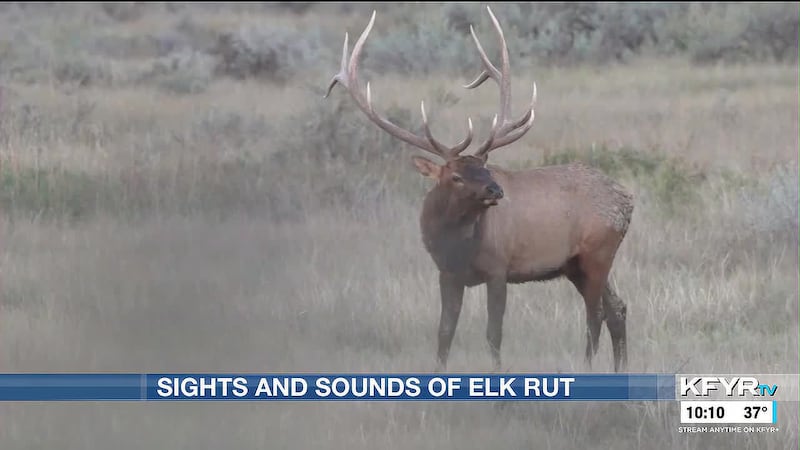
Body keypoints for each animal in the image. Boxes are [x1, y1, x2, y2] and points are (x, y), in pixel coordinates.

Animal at [324, 6, 634, 373]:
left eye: (485, 167)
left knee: (595, 314)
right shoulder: (447, 273)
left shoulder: (498, 268)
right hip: (576, 264)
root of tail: (628, 201)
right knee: (617, 308)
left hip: (598, 251)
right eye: (456, 176)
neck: (457, 245)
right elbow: (445, 332)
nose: (495, 190)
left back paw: (587, 367)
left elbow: (493, 332)